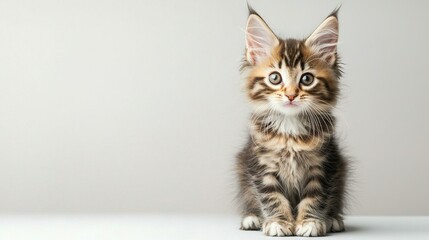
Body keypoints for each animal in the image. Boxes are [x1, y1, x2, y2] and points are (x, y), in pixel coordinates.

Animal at [236, 6, 346, 237]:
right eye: (275, 78)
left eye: (307, 79)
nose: (291, 95)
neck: (290, 129)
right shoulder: (261, 165)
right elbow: (271, 196)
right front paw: (278, 222)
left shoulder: (324, 164)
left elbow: (316, 196)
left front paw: (310, 222)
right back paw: (251, 218)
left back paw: (332, 219)